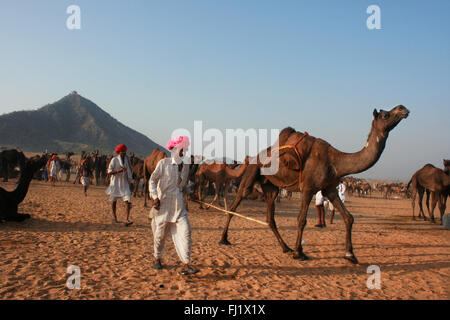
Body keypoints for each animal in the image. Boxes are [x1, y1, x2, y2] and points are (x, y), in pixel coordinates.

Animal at [217, 106, 408, 264]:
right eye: (386, 114)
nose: (403, 109)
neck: (335, 162)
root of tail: (254, 156)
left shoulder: (330, 189)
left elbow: (349, 217)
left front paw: (350, 255)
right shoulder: (308, 188)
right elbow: (301, 220)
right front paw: (299, 253)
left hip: (270, 185)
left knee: (270, 217)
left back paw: (285, 247)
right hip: (251, 173)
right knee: (236, 202)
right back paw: (223, 239)